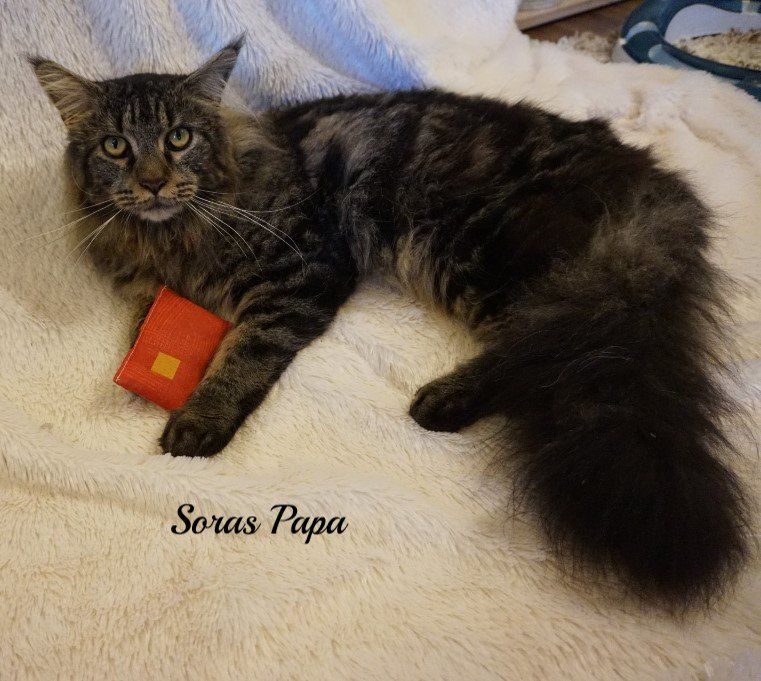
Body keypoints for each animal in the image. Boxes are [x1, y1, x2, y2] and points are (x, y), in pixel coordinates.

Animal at [30, 38, 749, 608]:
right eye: (116, 148)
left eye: (179, 138)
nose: (152, 182)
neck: (173, 234)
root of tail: (649, 184)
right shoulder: (150, 283)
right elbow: (147, 324)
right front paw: (147, 355)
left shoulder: (304, 274)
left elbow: (240, 355)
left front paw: (198, 419)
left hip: (474, 252)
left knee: (533, 350)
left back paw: (443, 402)